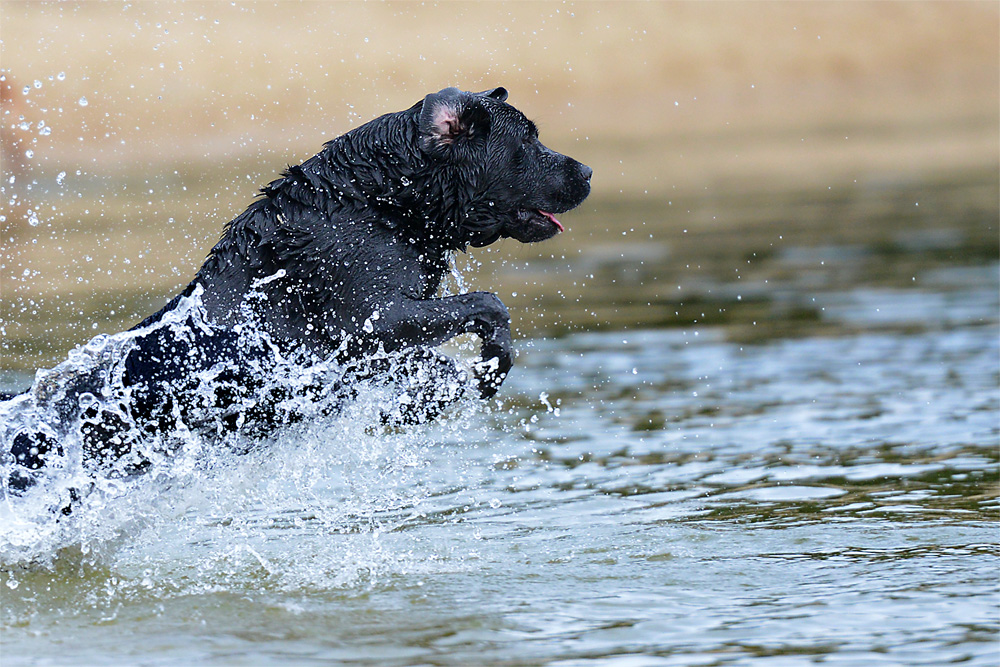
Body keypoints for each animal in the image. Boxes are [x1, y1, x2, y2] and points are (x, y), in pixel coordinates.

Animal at [0, 86, 588, 496]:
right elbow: (488, 306)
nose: (584, 170)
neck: (379, 202)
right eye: (528, 142)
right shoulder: (374, 320)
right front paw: (468, 376)